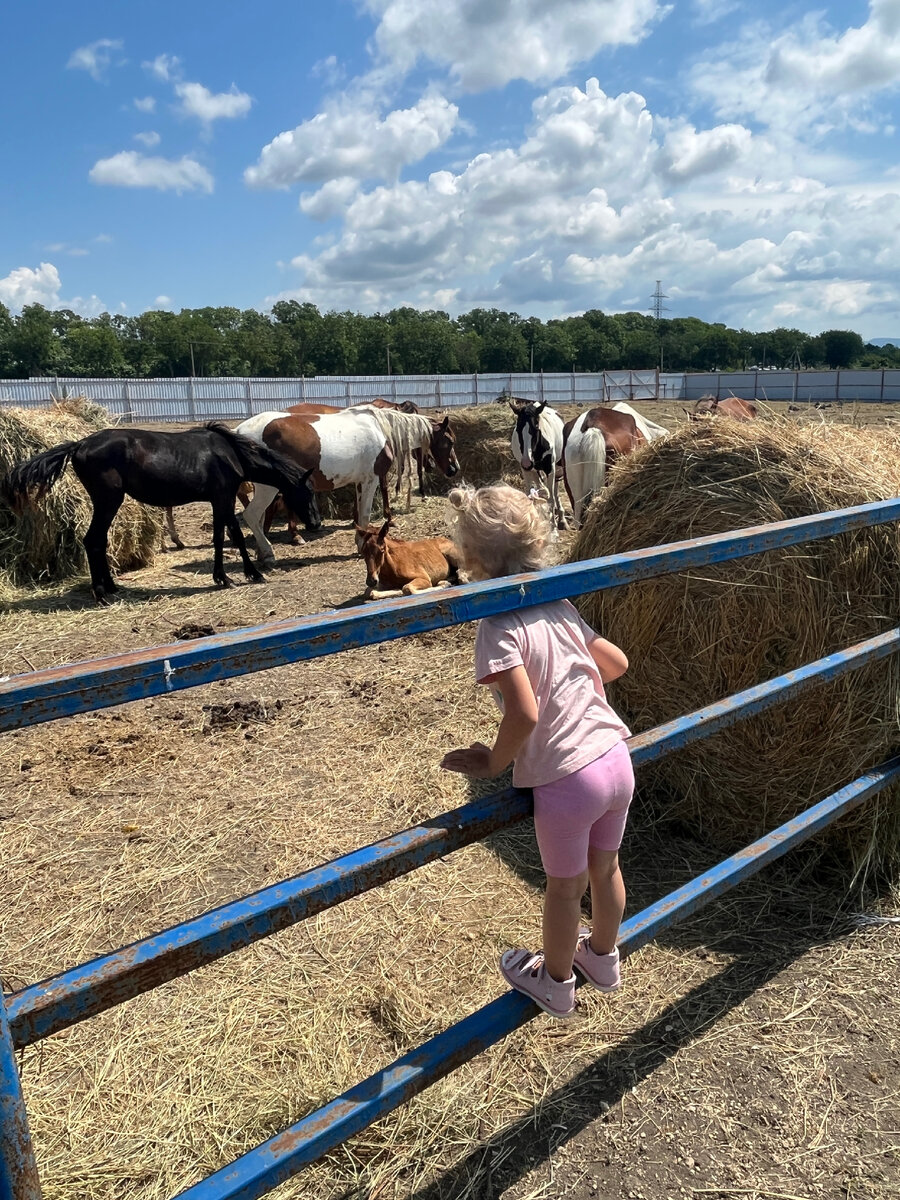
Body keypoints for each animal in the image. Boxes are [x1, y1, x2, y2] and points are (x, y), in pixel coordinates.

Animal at [0, 424, 321, 609]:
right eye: (307, 494)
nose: (316, 524)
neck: (230, 453)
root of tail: (78, 445)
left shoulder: (220, 501)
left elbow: (222, 537)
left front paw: (224, 576)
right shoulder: (224, 498)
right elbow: (233, 536)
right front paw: (249, 574)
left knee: (99, 542)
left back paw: (112, 587)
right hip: (108, 500)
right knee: (92, 540)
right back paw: (101, 594)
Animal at [236, 408, 460, 566]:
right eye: (449, 441)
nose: (454, 469)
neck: (380, 428)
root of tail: (239, 431)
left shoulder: (360, 482)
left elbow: (359, 515)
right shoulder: (371, 479)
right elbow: (365, 515)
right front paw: (363, 546)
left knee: (260, 518)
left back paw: (262, 552)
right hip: (268, 488)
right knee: (252, 515)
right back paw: (268, 553)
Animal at [508, 398, 571, 530]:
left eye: (536, 427)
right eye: (518, 428)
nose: (527, 462)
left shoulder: (550, 469)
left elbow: (551, 498)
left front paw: (553, 525)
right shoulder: (526, 470)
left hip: (556, 468)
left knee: (555, 491)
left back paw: (562, 520)